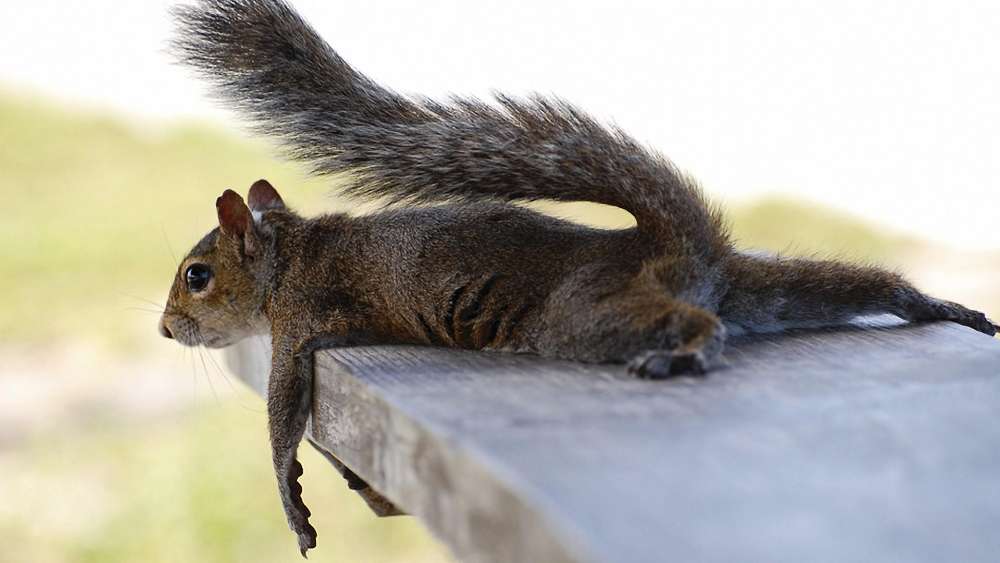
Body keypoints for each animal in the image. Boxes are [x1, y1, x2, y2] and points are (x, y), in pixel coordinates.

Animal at [160, 0, 996, 556]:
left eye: (196, 275)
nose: (167, 329)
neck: (289, 253)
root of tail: (672, 243)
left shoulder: (300, 320)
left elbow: (283, 415)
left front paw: (293, 502)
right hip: (762, 284)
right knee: (852, 285)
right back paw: (939, 304)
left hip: (581, 315)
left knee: (698, 324)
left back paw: (687, 352)